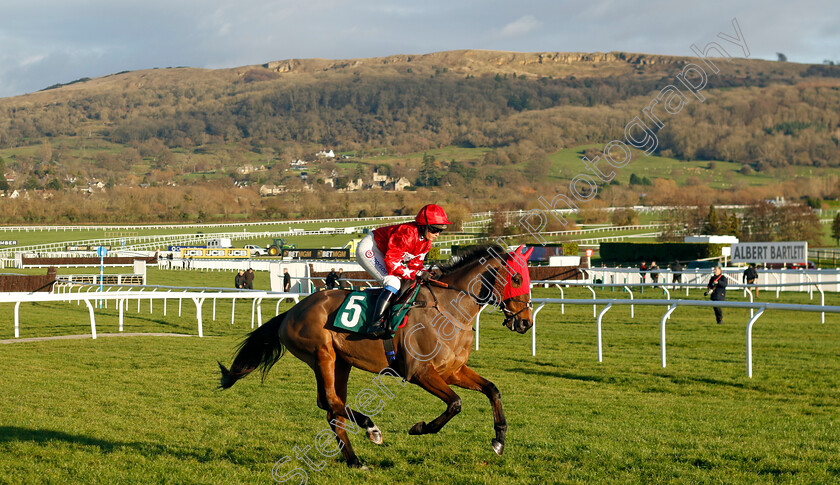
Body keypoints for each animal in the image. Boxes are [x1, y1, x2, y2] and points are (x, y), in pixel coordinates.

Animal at [217, 244, 532, 466]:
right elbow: (455, 404)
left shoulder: (452, 370)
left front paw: (499, 439)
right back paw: (371, 429)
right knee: (332, 403)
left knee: (331, 408)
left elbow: (492, 389)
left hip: (341, 362)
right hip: (322, 355)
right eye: (517, 278)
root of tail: (291, 312)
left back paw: (355, 461)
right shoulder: (420, 373)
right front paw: (420, 428)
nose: (526, 322)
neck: (449, 308)